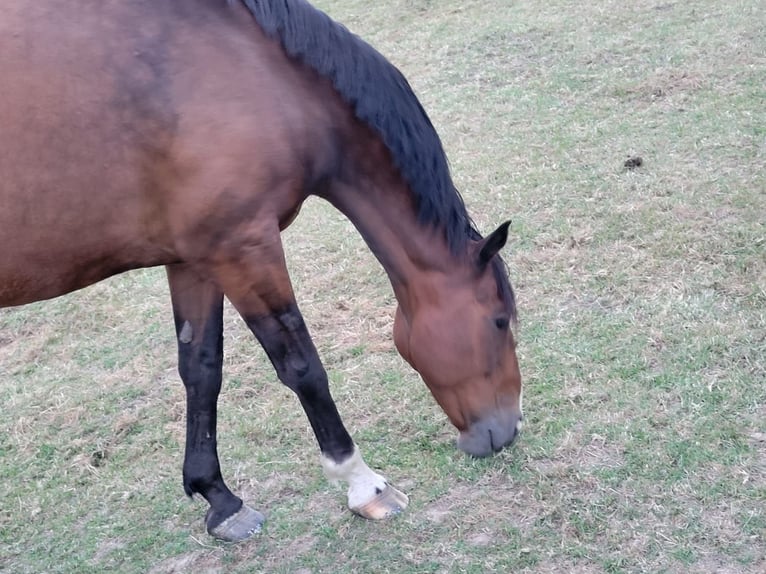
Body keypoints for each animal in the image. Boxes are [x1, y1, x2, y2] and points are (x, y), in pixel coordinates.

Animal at [0, 0, 523, 542]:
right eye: (500, 321)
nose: (508, 429)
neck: (256, 69)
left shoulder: (195, 258)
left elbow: (201, 368)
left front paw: (219, 498)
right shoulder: (244, 247)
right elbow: (301, 366)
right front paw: (364, 486)